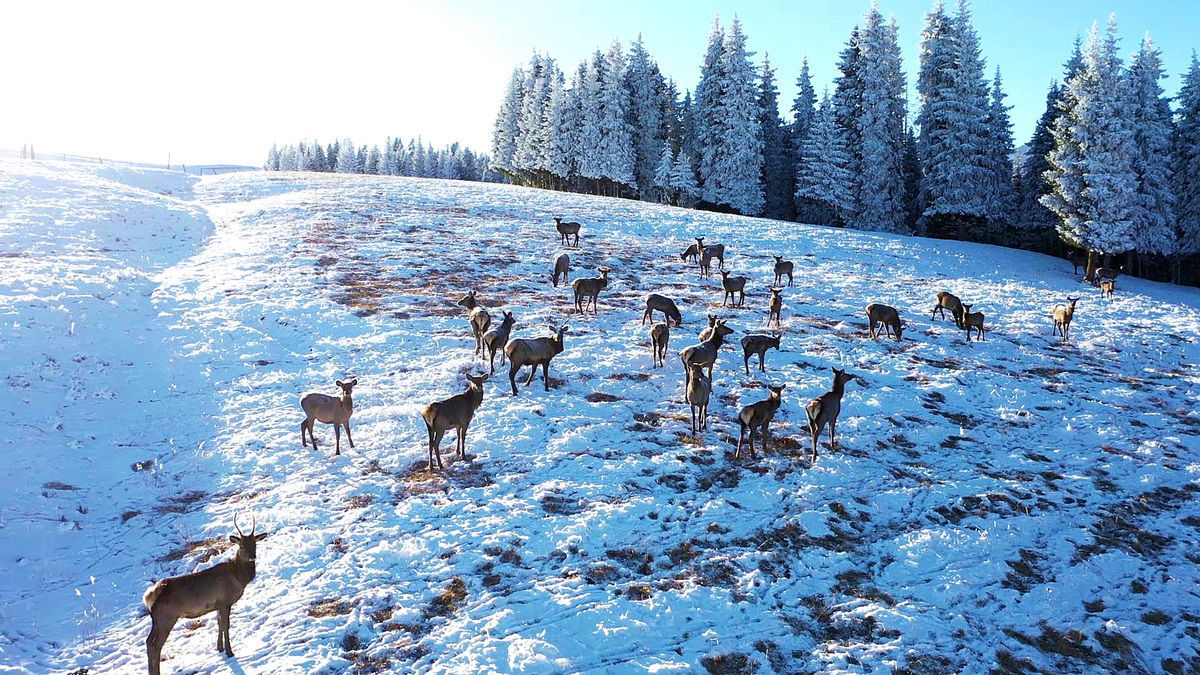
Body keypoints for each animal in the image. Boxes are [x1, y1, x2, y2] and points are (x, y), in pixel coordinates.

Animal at [144, 511, 267, 667]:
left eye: (255, 543)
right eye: (242, 546)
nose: (252, 556)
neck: (238, 577)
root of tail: (148, 596)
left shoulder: (218, 604)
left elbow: (219, 624)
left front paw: (219, 648)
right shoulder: (225, 601)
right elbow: (226, 626)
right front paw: (230, 652)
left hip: (157, 620)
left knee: (148, 642)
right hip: (166, 617)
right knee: (155, 645)